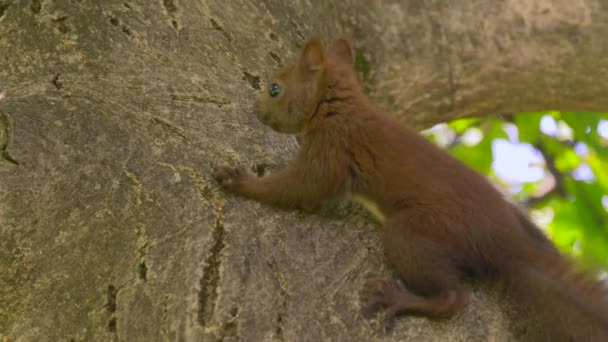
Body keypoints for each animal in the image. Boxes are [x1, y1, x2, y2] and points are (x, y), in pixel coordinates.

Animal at [216, 35, 608, 340]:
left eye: (274, 88)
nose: (255, 109)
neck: (339, 107)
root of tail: (509, 245)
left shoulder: (333, 151)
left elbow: (298, 188)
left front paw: (240, 181)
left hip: (413, 231)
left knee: (453, 299)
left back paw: (400, 300)